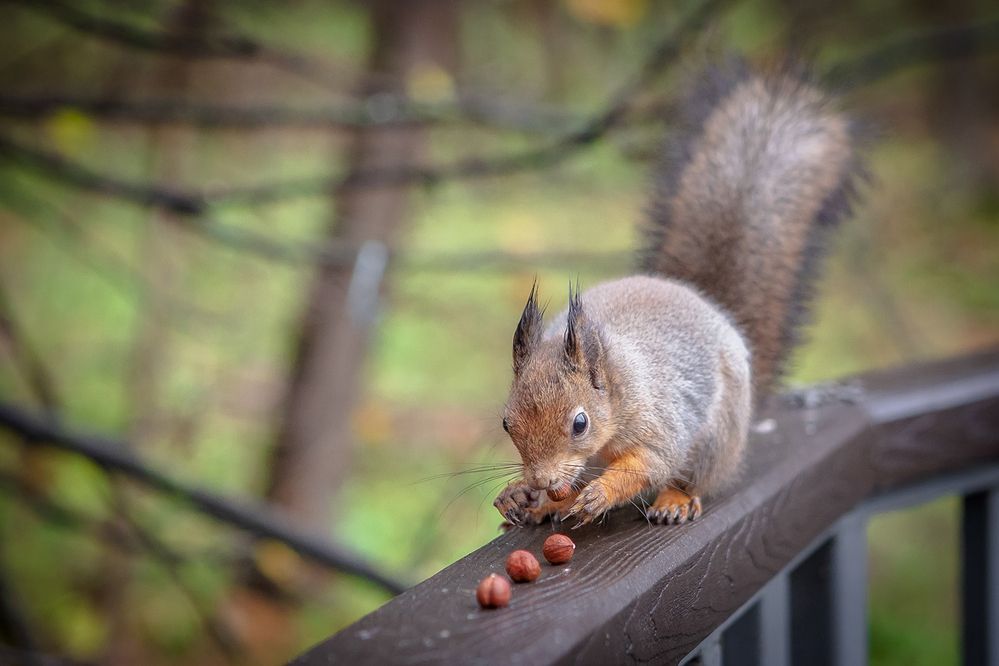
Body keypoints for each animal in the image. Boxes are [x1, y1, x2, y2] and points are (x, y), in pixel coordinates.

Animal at [494, 61, 861, 527]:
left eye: (580, 423)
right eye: (507, 423)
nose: (542, 480)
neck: (618, 378)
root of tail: (706, 303)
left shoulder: (661, 420)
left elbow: (651, 462)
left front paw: (599, 493)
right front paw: (520, 494)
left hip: (716, 438)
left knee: (691, 476)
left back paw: (674, 499)